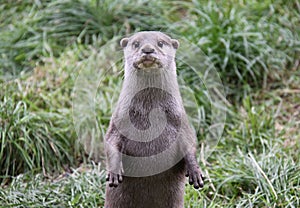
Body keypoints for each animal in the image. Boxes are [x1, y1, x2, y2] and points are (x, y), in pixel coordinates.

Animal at [104, 31, 205, 208]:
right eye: (136, 44)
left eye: (160, 43)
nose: (147, 49)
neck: (150, 112)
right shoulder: (119, 119)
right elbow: (111, 140)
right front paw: (114, 171)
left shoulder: (181, 121)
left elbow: (190, 143)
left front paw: (195, 171)